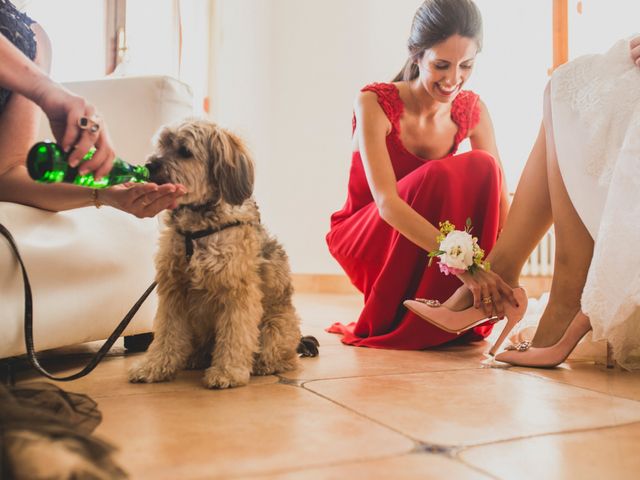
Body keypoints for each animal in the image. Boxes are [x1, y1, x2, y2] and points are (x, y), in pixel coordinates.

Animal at [128, 118, 318, 388]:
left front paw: (228, 372)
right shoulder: (174, 291)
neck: (197, 230)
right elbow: (166, 334)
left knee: (282, 355)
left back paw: (264, 365)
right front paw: (154, 366)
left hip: (276, 324)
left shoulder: (237, 292)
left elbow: (235, 335)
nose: (149, 166)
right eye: (162, 144)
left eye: (185, 151)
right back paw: (194, 357)